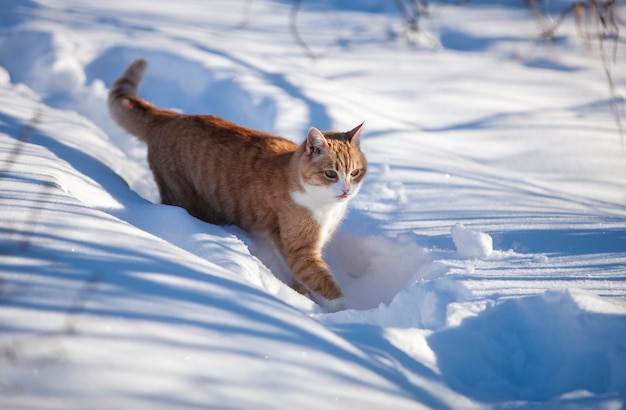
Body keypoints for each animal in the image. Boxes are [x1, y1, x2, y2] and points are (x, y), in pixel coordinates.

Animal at [108, 59, 366, 310]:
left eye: (355, 172)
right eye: (331, 174)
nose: (346, 190)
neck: (326, 207)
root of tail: (171, 117)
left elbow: (303, 281)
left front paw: (303, 297)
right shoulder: (300, 250)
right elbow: (324, 283)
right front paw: (348, 315)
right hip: (180, 193)